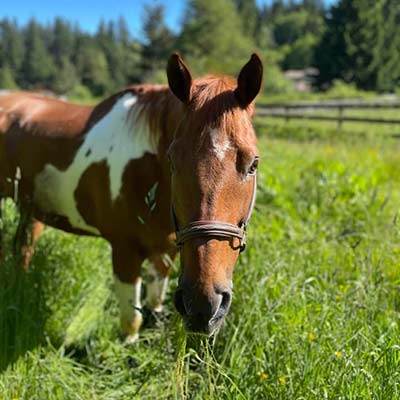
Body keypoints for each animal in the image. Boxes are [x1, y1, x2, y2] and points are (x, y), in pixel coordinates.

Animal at [0, 52, 262, 340]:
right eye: (172, 160)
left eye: (253, 164)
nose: (203, 305)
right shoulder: (124, 252)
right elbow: (131, 322)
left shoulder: (166, 250)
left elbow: (155, 303)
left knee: (23, 247)